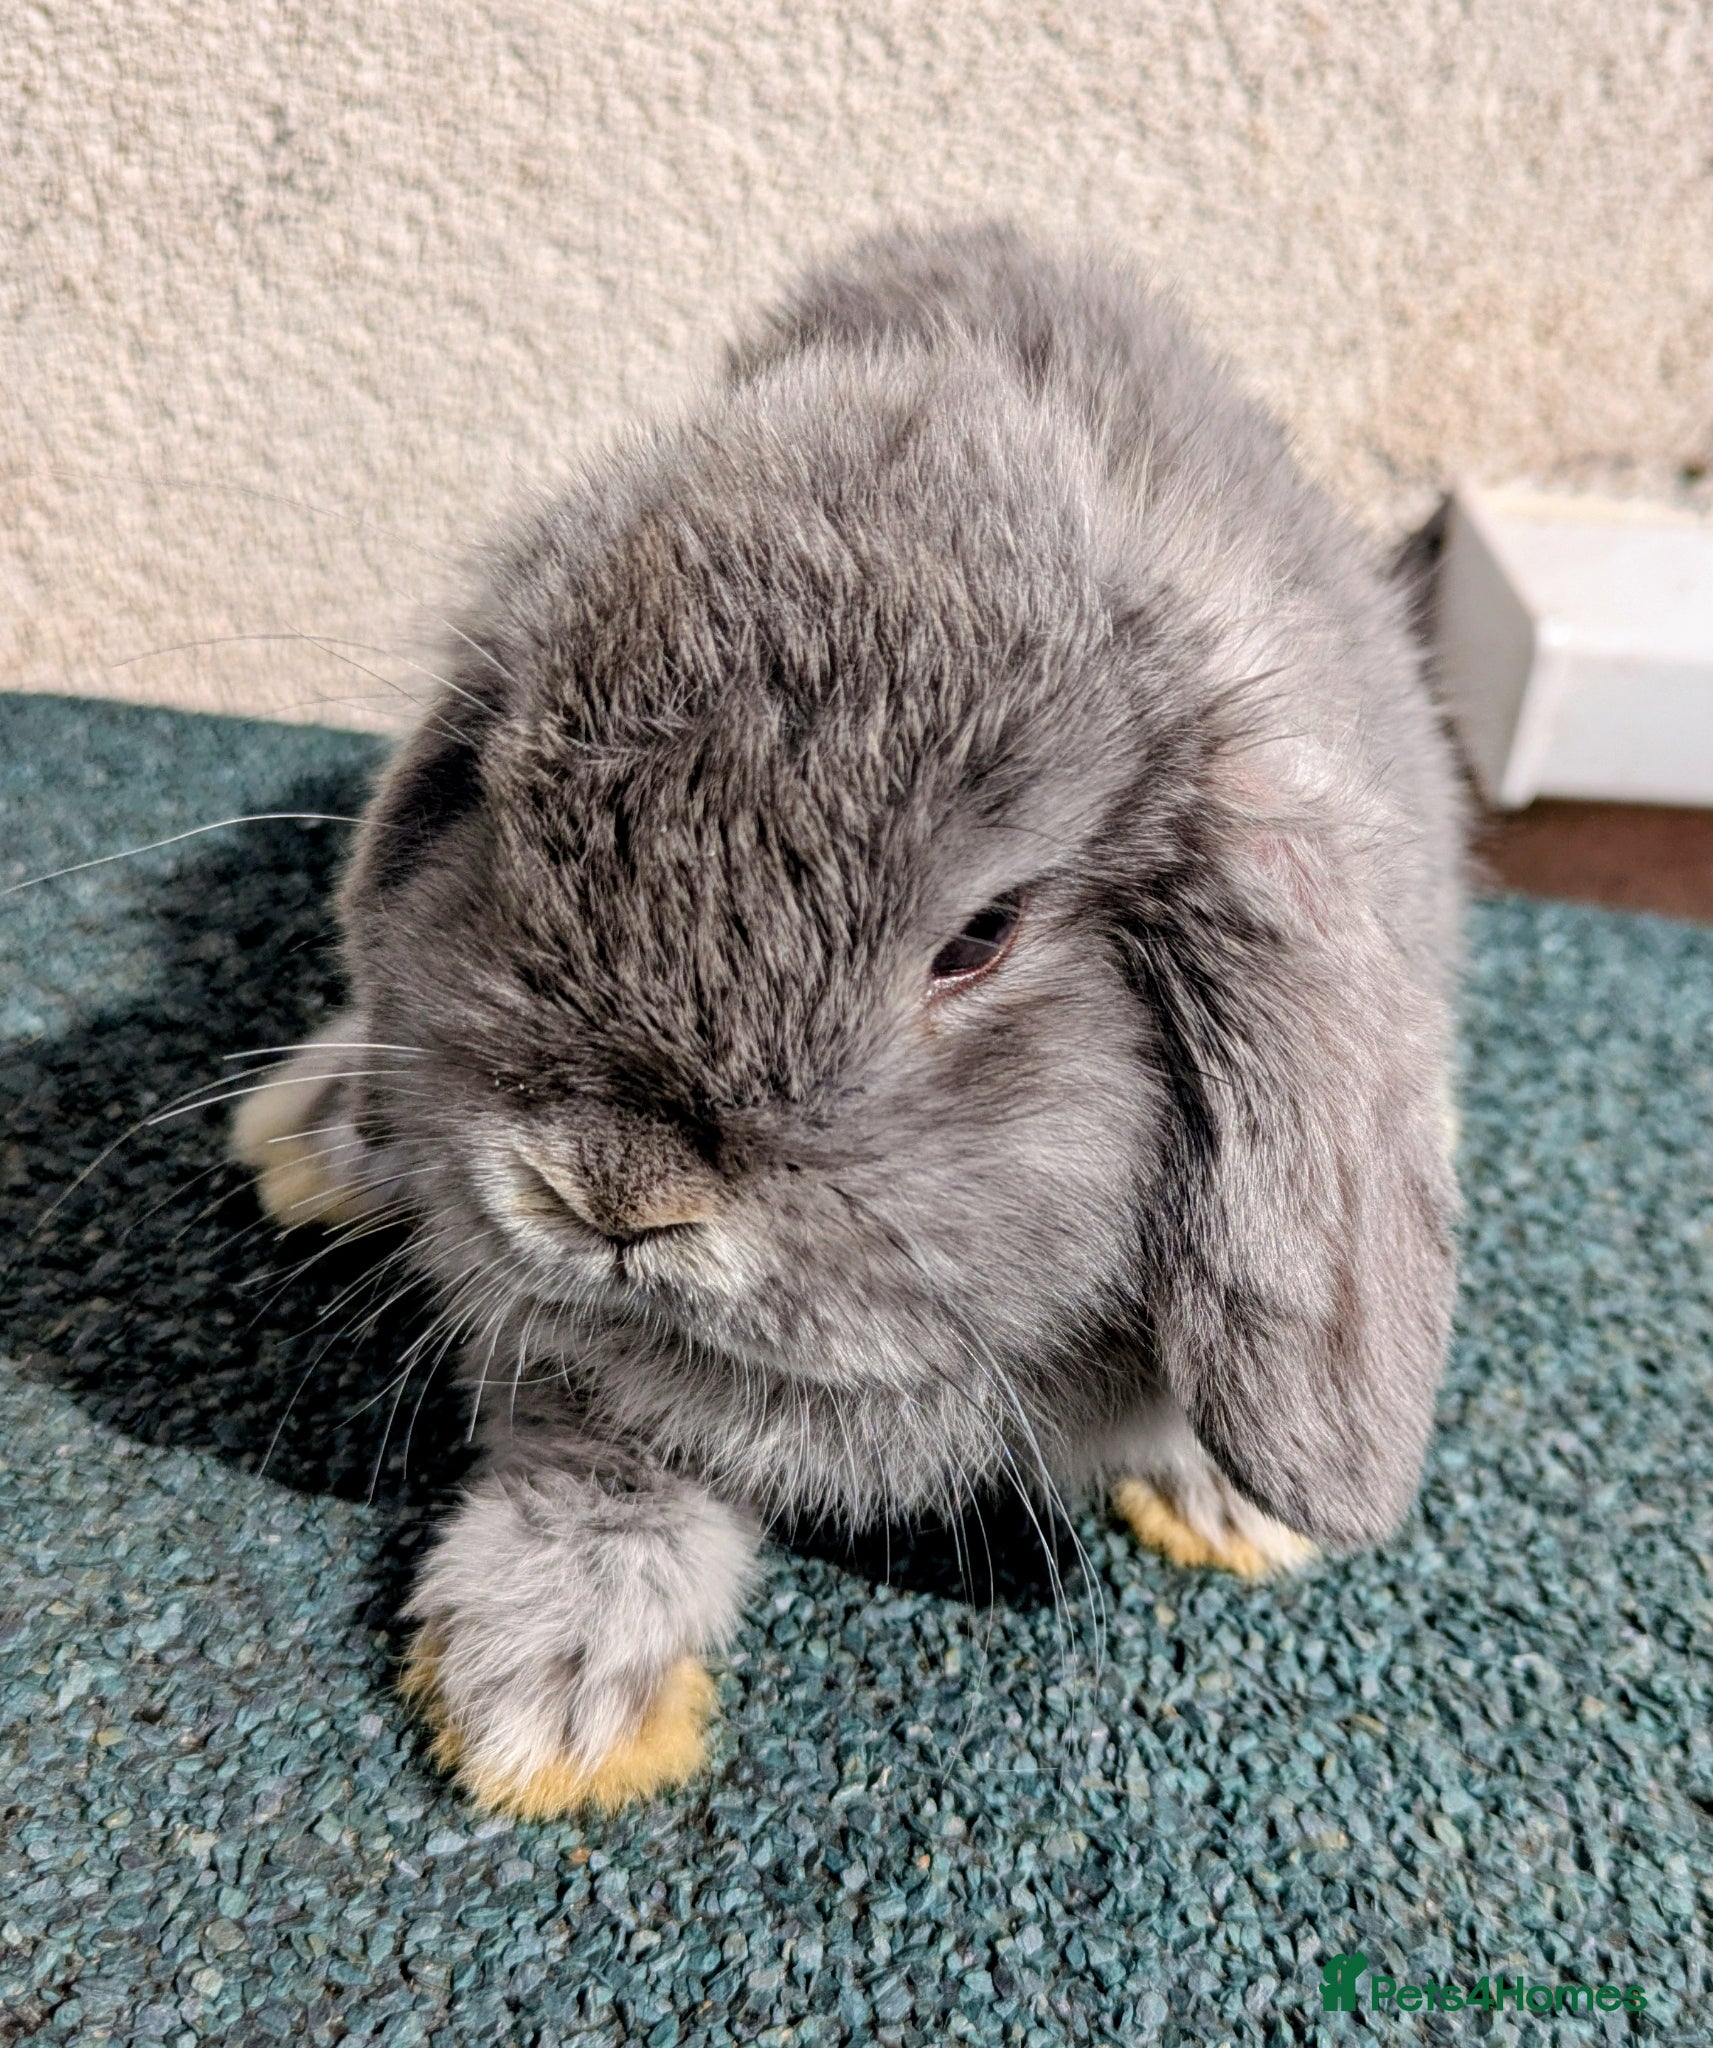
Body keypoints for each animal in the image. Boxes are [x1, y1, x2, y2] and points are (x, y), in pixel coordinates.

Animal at [231, 222, 1462, 1817]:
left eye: (981, 937)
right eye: (501, 805)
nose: (612, 1192)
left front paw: (1230, 1502)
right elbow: (601, 1456)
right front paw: (546, 1707)